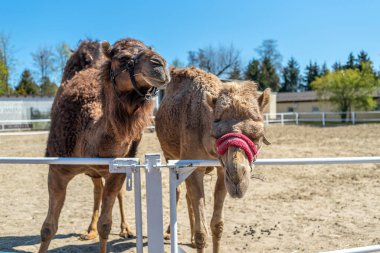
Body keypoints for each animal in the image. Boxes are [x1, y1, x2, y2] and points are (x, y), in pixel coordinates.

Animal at [155, 67, 270, 253]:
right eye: (216, 135)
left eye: (258, 135)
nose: (237, 179)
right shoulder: (194, 166)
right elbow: (202, 232)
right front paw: (197, 237)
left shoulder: (222, 168)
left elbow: (217, 226)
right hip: (169, 155)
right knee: (178, 191)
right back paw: (168, 233)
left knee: (187, 195)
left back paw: (190, 239)